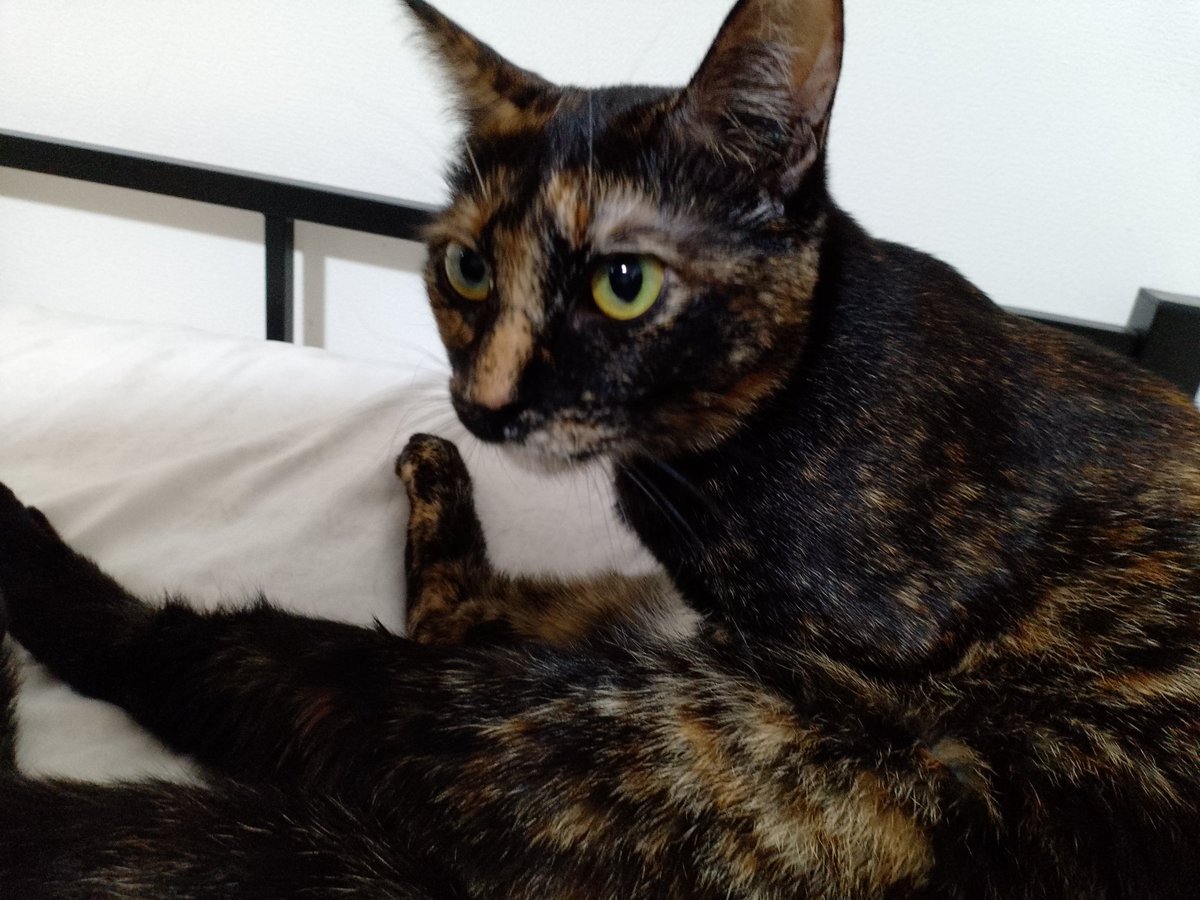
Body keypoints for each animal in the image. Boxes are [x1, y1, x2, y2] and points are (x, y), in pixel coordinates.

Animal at [3, 0, 1199, 896]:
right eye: (465, 270)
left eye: (625, 284)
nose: (483, 406)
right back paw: (432, 476)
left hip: (650, 739)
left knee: (240, 665)